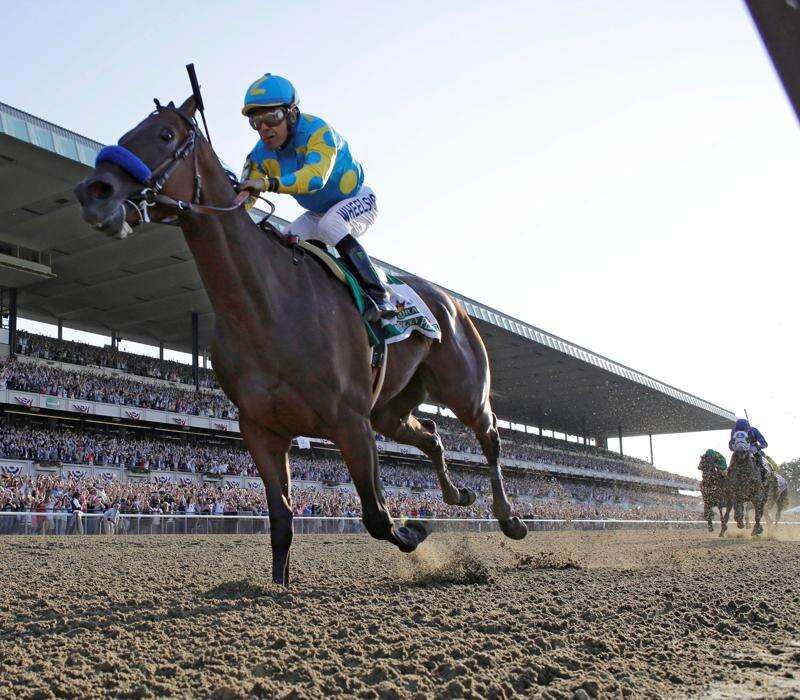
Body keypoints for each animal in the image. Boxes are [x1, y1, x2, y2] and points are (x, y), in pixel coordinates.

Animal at [73, 95, 524, 584]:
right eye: (126, 133)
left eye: (165, 135)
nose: (93, 192)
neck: (267, 306)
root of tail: (448, 300)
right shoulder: (262, 429)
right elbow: (282, 520)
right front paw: (279, 586)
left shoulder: (350, 421)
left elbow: (377, 516)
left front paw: (415, 530)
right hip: (389, 408)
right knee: (434, 435)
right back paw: (458, 494)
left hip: (463, 388)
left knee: (489, 436)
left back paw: (510, 518)